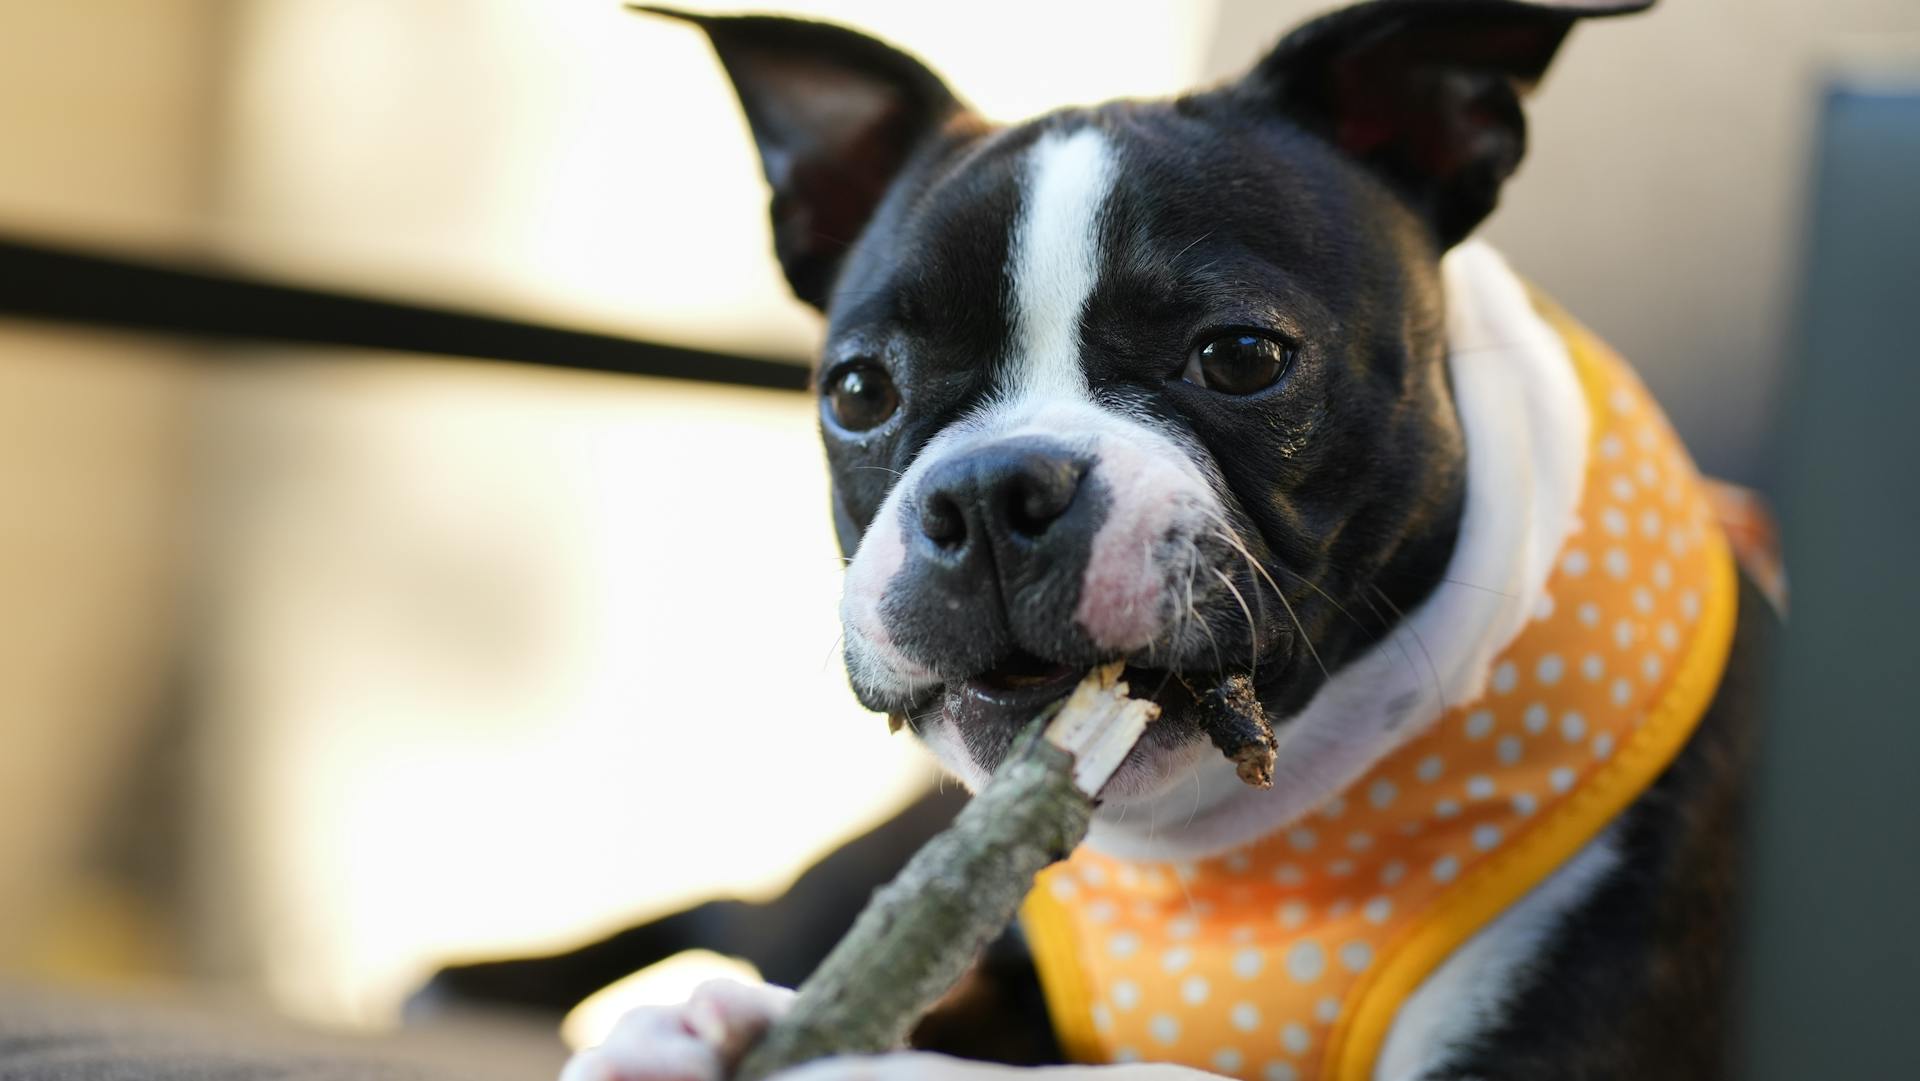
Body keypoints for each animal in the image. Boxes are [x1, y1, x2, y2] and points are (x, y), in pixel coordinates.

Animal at [560, 2, 1766, 1081]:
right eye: (858, 392)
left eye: (1240, 355)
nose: (991, 492)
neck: (1215, 847)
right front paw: (704, 1032)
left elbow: (1126, 1072)